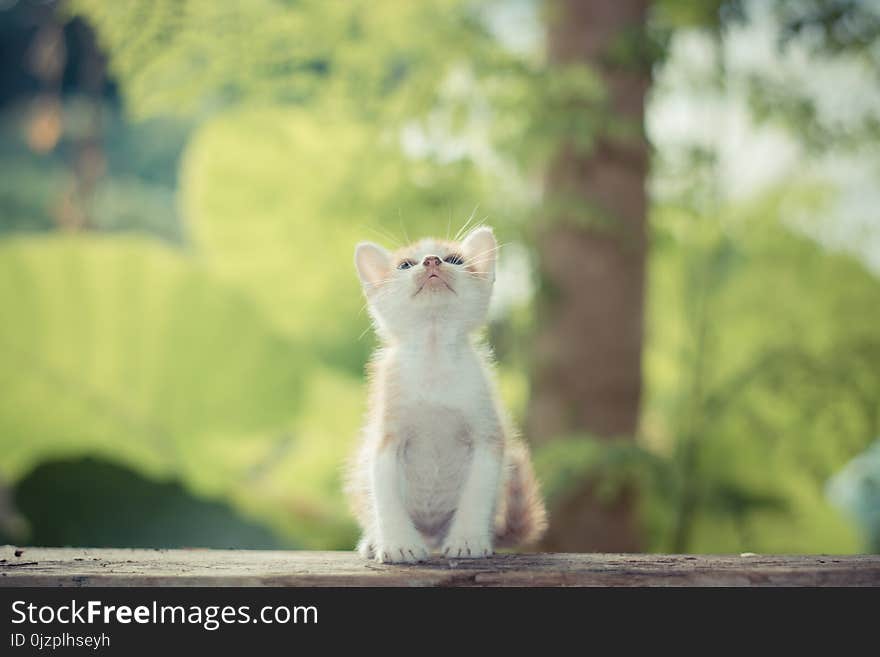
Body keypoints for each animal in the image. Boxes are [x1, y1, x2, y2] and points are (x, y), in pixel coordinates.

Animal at [348, 227, 548, 564]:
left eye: (454, 259)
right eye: (405, 265)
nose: (432, 261)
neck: (434, 354)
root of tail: (430, 535)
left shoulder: (487, 434)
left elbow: (477, 492)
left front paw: (467, 540)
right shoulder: (386, 438)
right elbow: (386, 495)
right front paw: (398, 544)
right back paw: (375, 541)